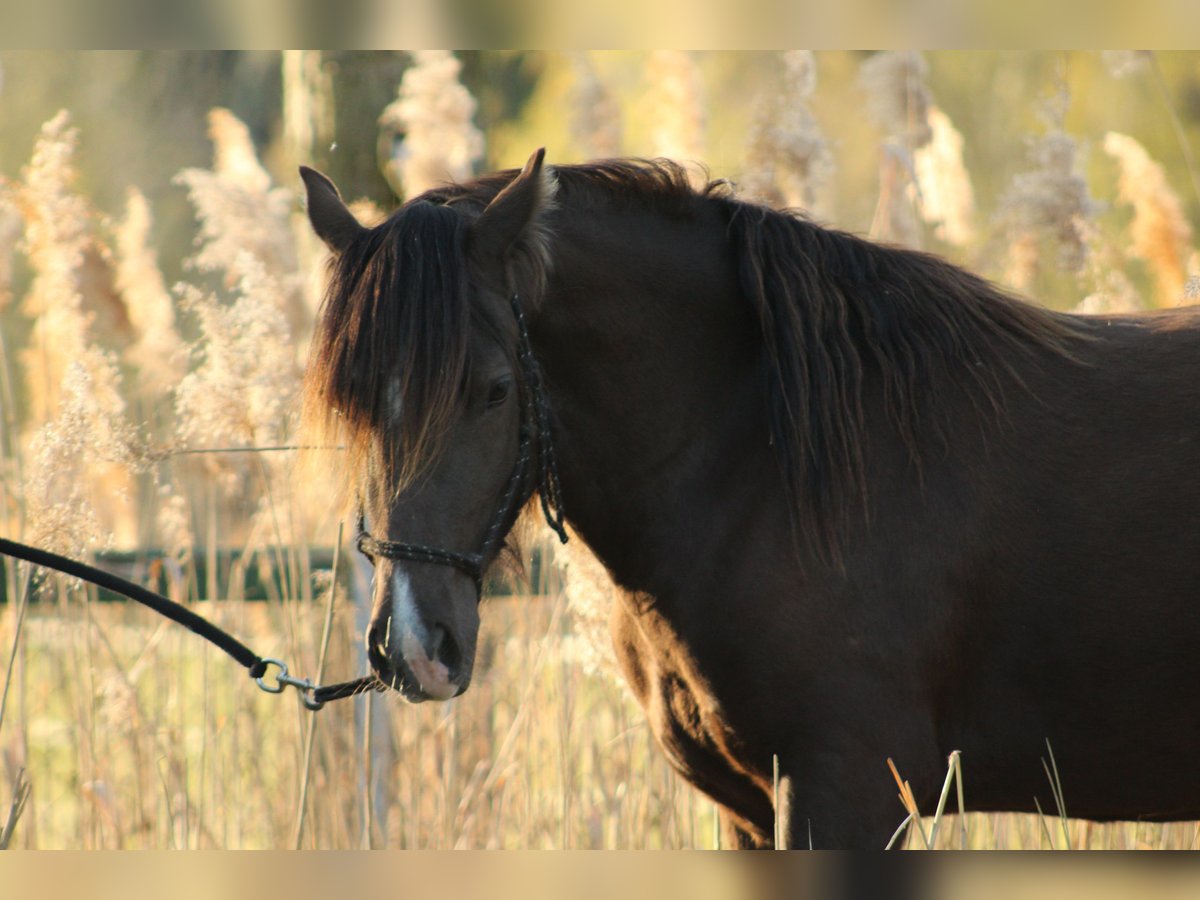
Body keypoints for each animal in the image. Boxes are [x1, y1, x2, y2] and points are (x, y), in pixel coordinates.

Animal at [300, 151, 1200, 849]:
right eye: (352, 402)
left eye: (492, 391)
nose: (413, 646)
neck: (774, 468)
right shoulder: (748, 808)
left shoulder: (848, 791)